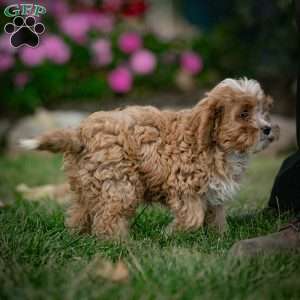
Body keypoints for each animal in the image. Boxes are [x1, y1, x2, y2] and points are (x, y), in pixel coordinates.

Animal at [20, 78, 278, 239]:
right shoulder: (184, 187)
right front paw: (171, 234)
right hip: (119, 183)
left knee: (80, 212)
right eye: (243, 114)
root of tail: (80, 132)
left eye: (262, 110)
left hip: (89, 183)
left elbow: (216, 215)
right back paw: (120, 244)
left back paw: (79, 236)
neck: (216, 144)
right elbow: (193, 217)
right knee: (108, 218)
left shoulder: (214, 192)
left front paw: (220, 237)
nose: (268, 129)